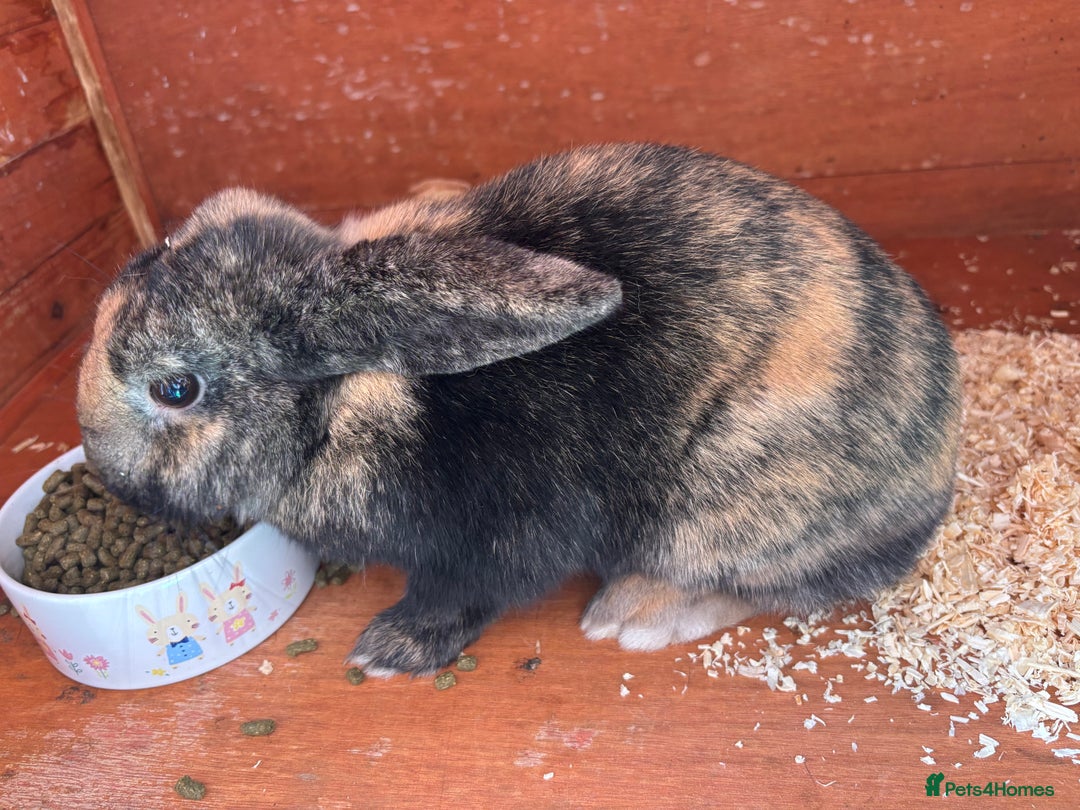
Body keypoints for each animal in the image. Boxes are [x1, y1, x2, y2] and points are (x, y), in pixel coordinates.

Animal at [77, 143, 962, 677]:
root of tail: (936, 476)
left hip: (719, 508)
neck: (344, 402)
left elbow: (469, 592)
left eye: (175, 389)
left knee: (766, 586)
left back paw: (629, 617)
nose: (99, 465)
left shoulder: (497, 538)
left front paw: (387, 650)